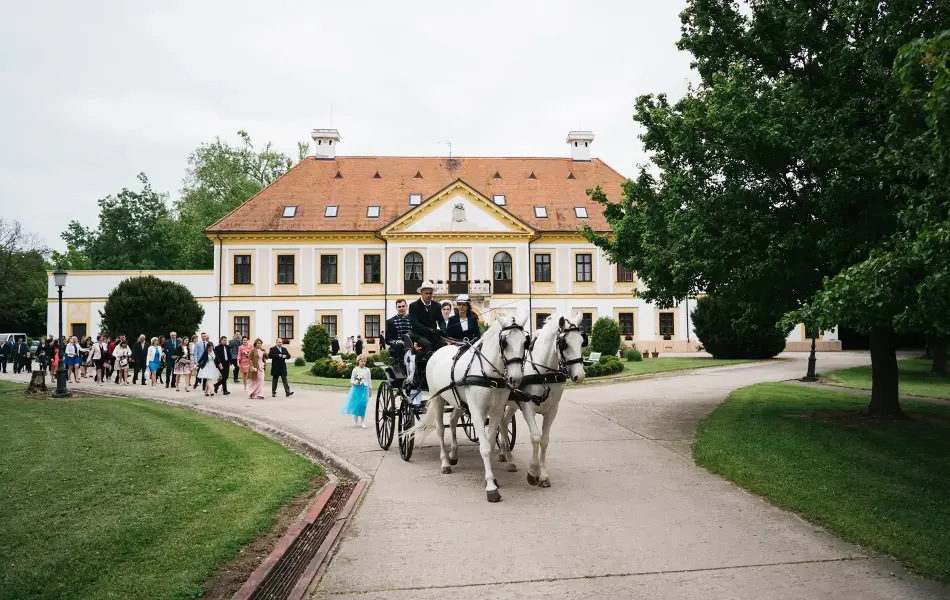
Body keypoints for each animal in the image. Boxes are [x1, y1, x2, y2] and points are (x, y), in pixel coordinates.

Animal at [408, 312, 532, 504]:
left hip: (458, 401)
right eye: (504, 342)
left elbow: (489, 444)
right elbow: (485, 448)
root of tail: (438, 351)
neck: (489, 375)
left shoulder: (496, 412)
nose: (516, 379)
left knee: (452, 421)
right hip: (438, 399)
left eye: (526, 342)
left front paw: (492, 477)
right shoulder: (477, 413)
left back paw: (453, 454)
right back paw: (445, 462)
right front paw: (491, 487)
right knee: (441, 429)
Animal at [498, 314, 588, 488]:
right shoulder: (527, 408)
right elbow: (535, 437)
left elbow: (545, 440)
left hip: (512, 405)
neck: (543, 375)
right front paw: (533, 472)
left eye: (582, 341)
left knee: (504, 423)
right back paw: (507, 457)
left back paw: (506, 454)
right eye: (564, 343)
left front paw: (544, 475)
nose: (579, 376)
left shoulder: (552, 410)